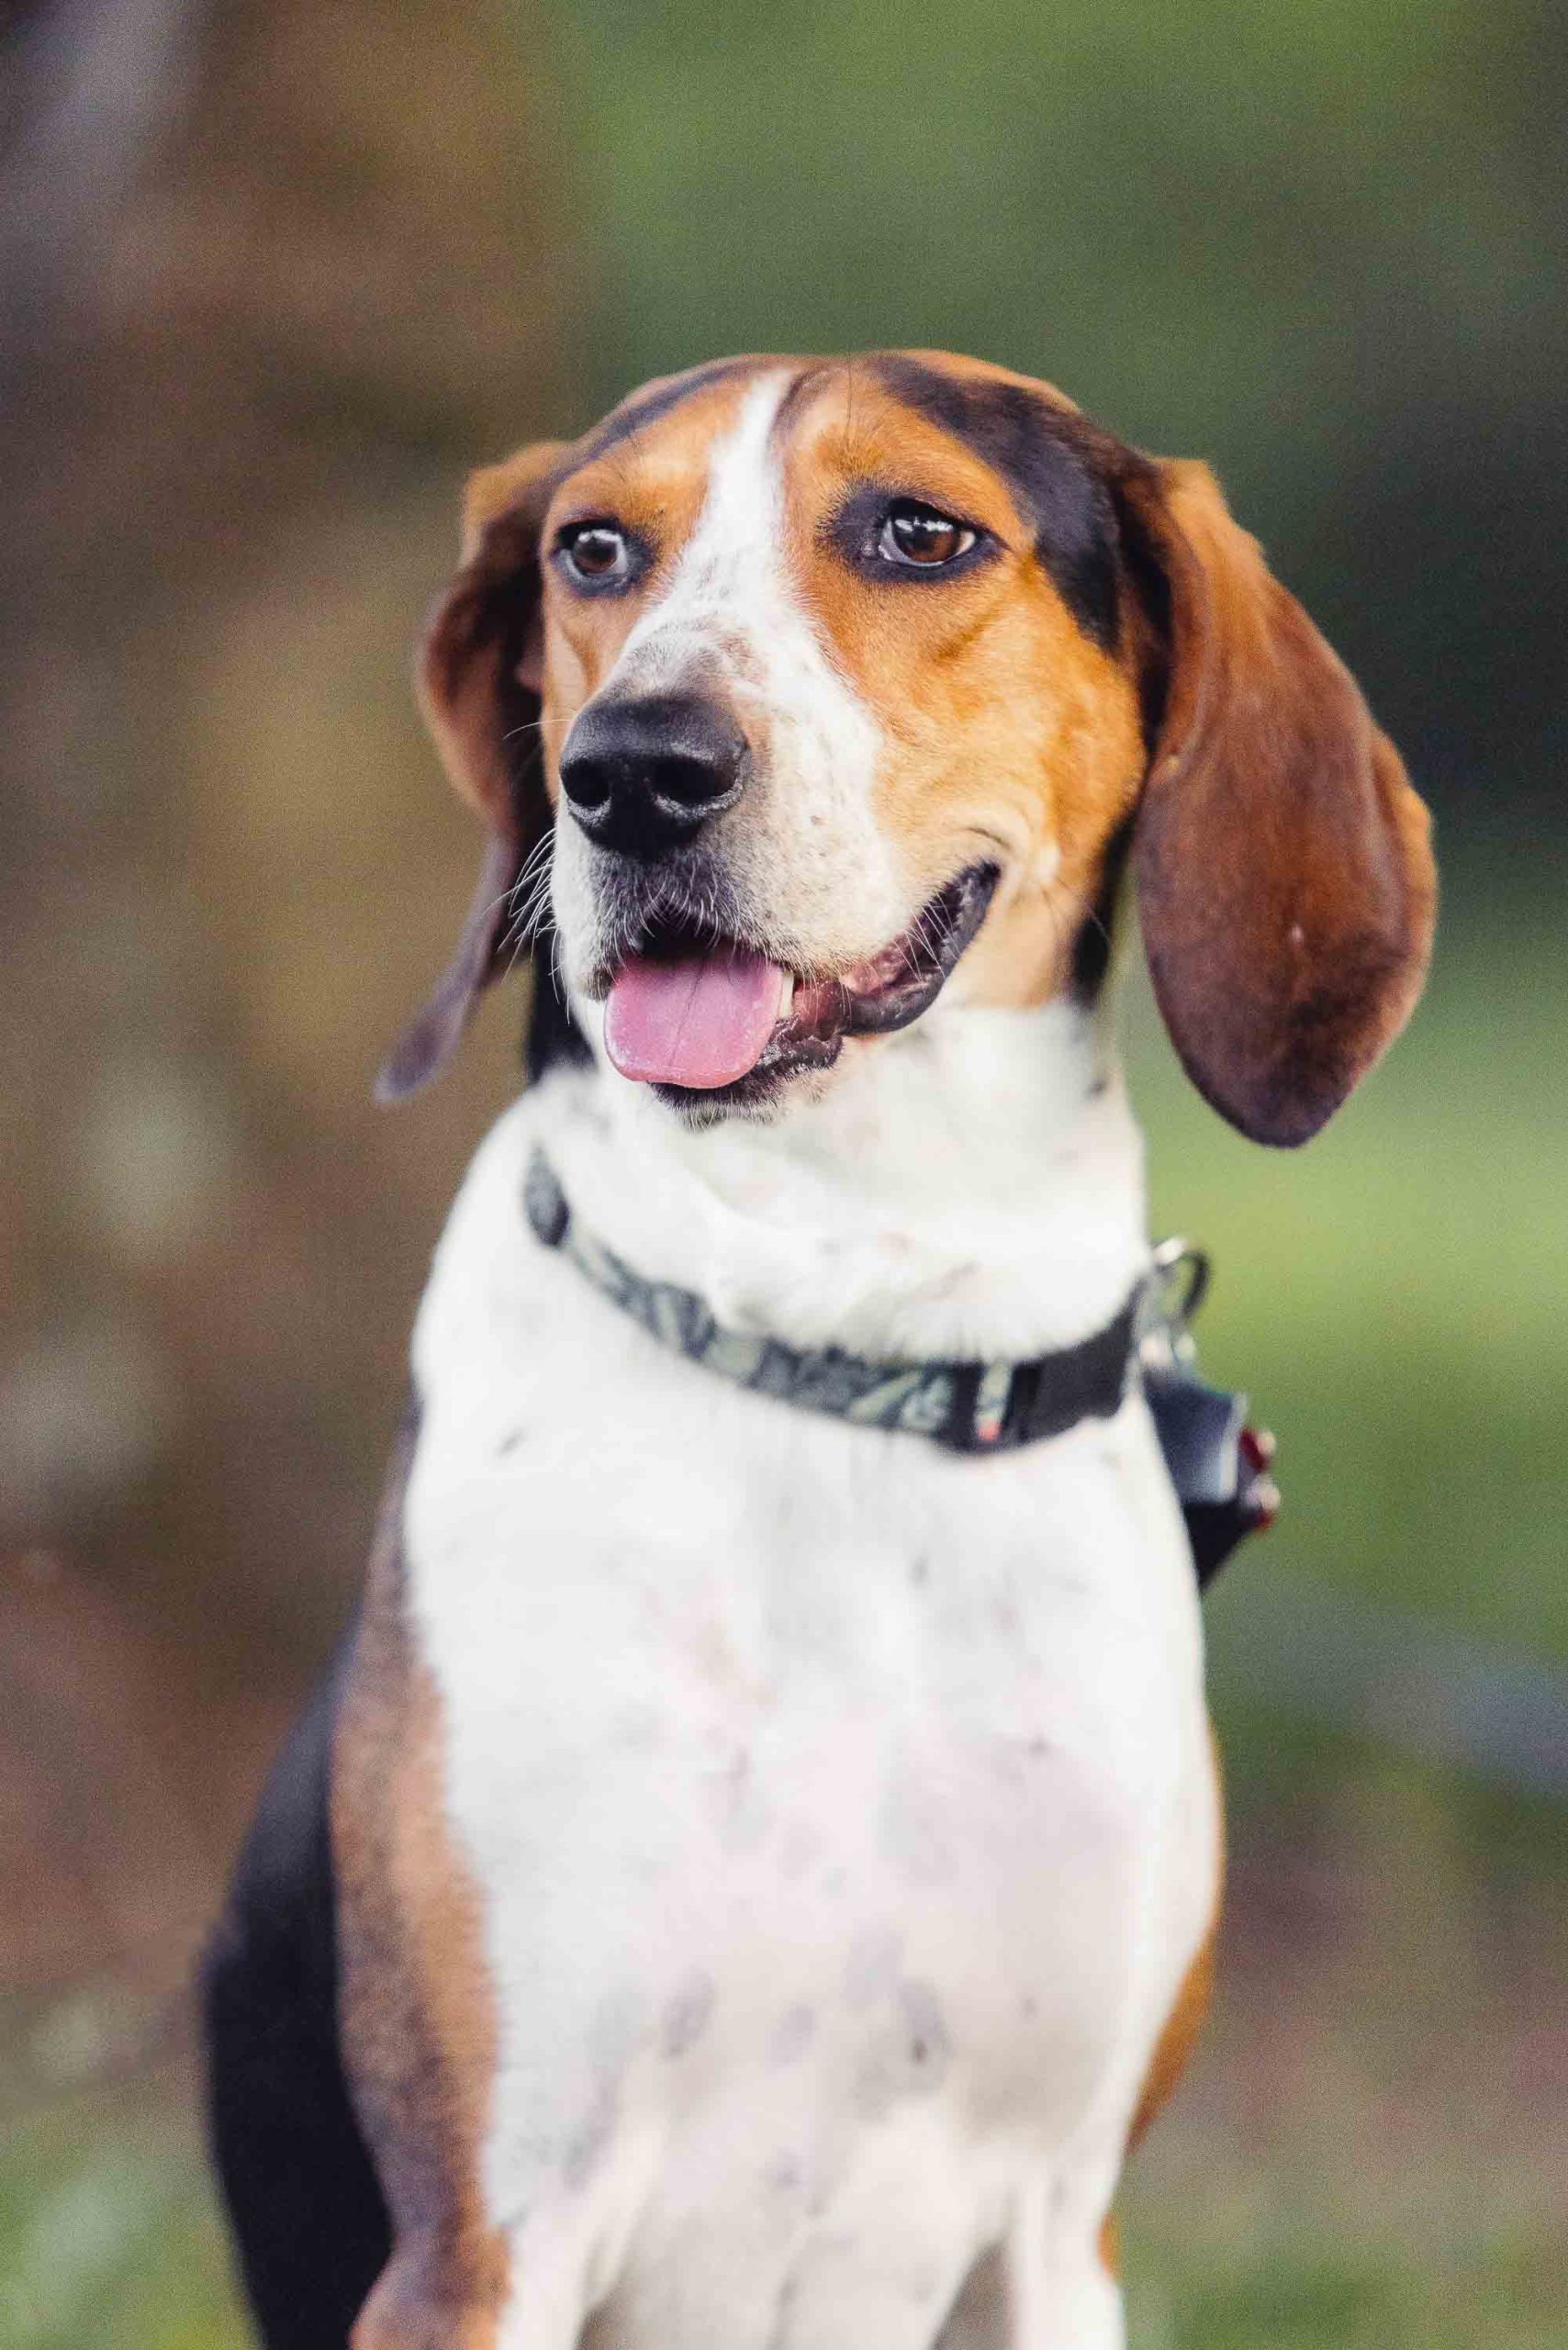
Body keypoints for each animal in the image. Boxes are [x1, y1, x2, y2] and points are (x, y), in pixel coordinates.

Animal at [202, 347, 1439, 2350]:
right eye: (591, 548)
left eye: (918, 533)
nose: (628, 772)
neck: (846, 1335)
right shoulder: (482, 2238)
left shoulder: (1058, 2225)